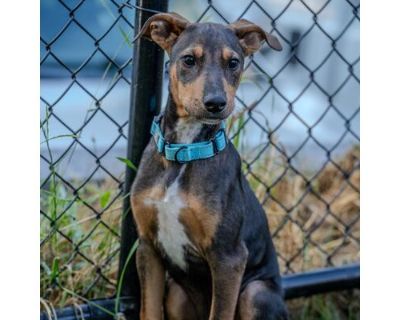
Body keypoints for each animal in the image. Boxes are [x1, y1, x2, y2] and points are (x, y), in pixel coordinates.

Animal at [131, 12, 288, 320]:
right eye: (189, 60)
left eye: (234, 63)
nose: (216, 103)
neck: (184, 152)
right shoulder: (147, 247)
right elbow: (149, 310)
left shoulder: (228, 257)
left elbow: (220, 313)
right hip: (176, 296)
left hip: (255, 293)